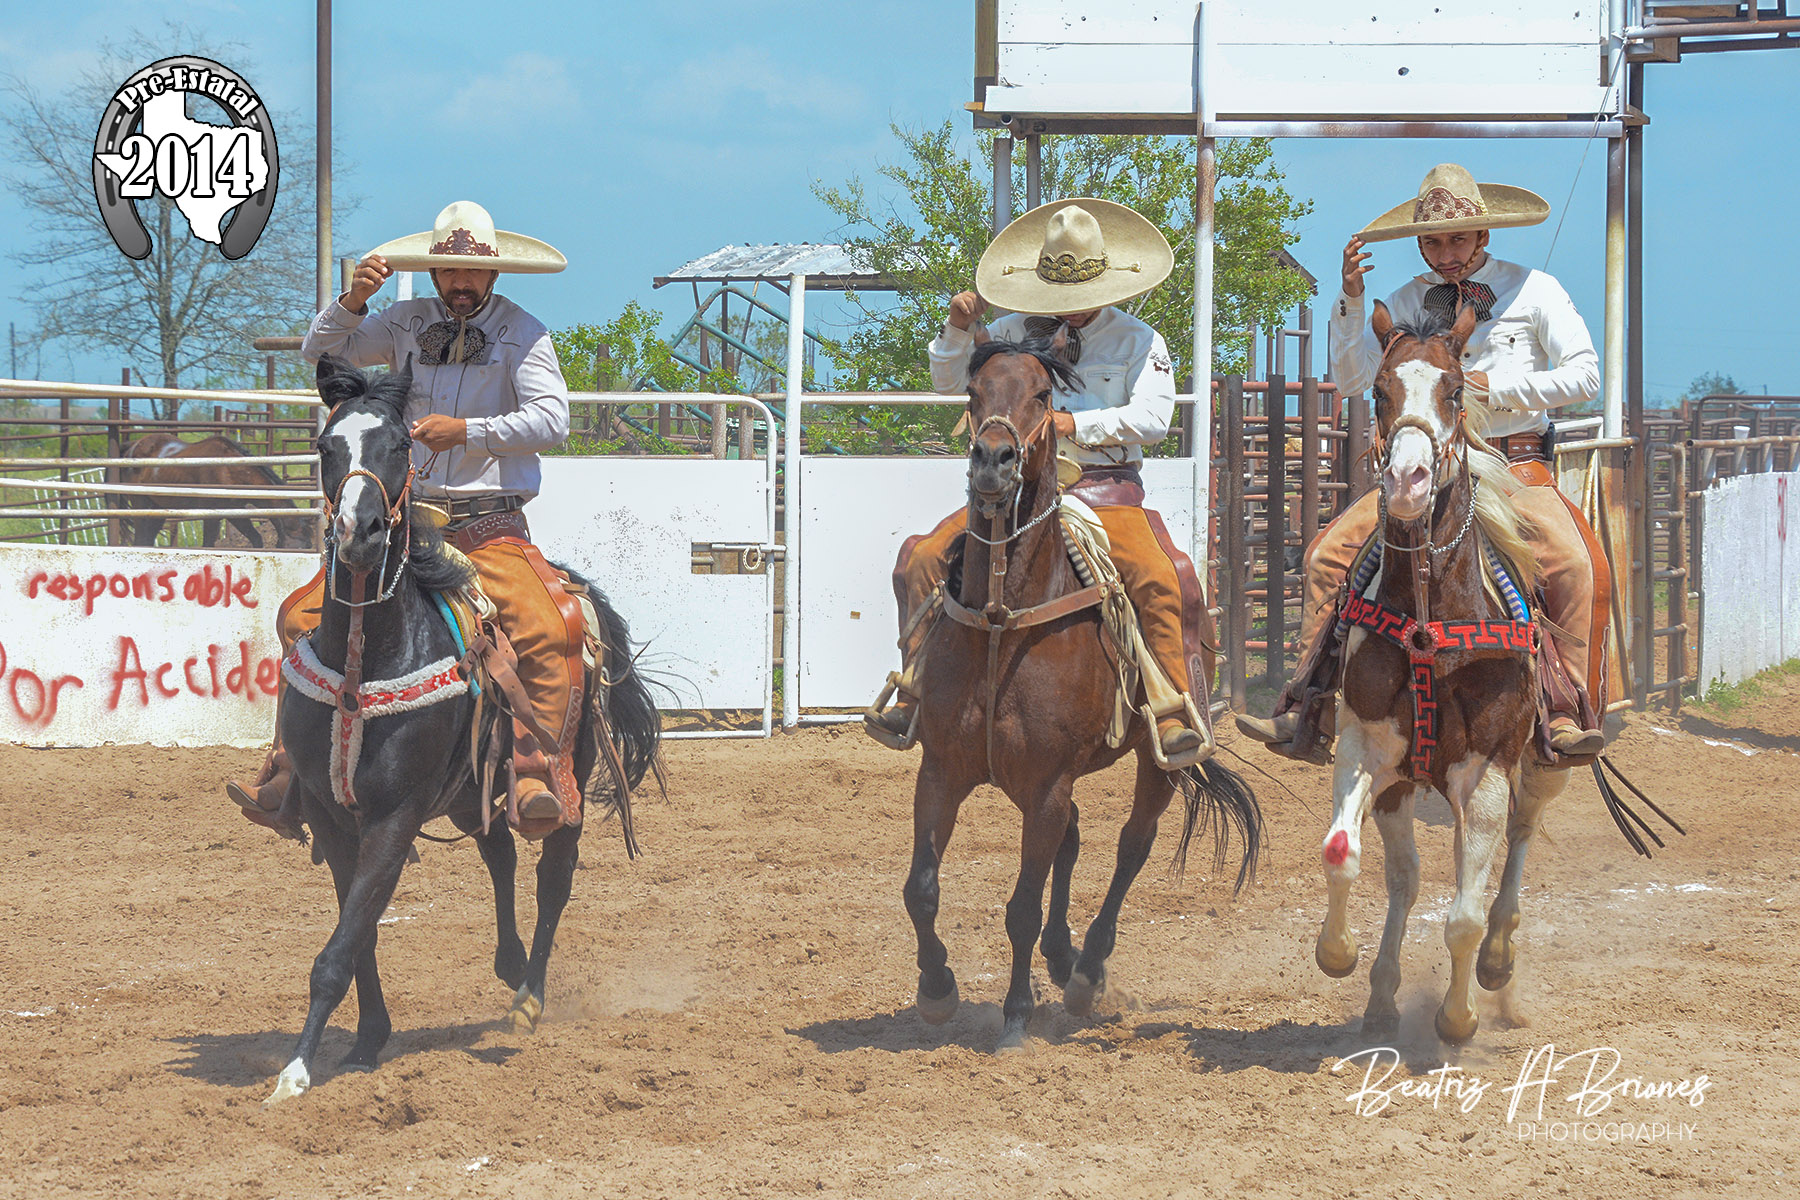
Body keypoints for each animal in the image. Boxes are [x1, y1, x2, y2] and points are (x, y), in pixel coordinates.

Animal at [120, 433, 315, 550]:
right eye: (303, 546)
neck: (228, 469)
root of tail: (133, 447)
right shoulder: (211, 515)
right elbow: (207, 545)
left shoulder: (234, 512)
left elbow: (256, 539)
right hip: (141, 508)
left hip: (157, 511)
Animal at [264, 354, 662, 1104]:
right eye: (327, 447)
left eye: (399, 445)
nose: (359, 533)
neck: (371, 655)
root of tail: (576, 591)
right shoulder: (333, 816)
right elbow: (357, 932)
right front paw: (368, 1039)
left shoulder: (393, 817)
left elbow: (342, 944)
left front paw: (296, 1071)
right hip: (467, 788)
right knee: (499, 848)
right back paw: (508, 964)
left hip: (563, 769)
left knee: (553, 873)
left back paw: (528, 997)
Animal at [903, 331, 1261, 1053]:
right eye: (972, 392)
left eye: (1045, 395)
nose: (993, 459)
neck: (1003, 620)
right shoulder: (943, 770)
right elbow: (921, 889)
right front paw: (936, 988)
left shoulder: (1045, 783)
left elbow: (1020, 905)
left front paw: (1015, 1016)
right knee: (1071, 841)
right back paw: (1063, 956)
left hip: (1157, 762)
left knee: (1131, 846)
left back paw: (1087, 970)